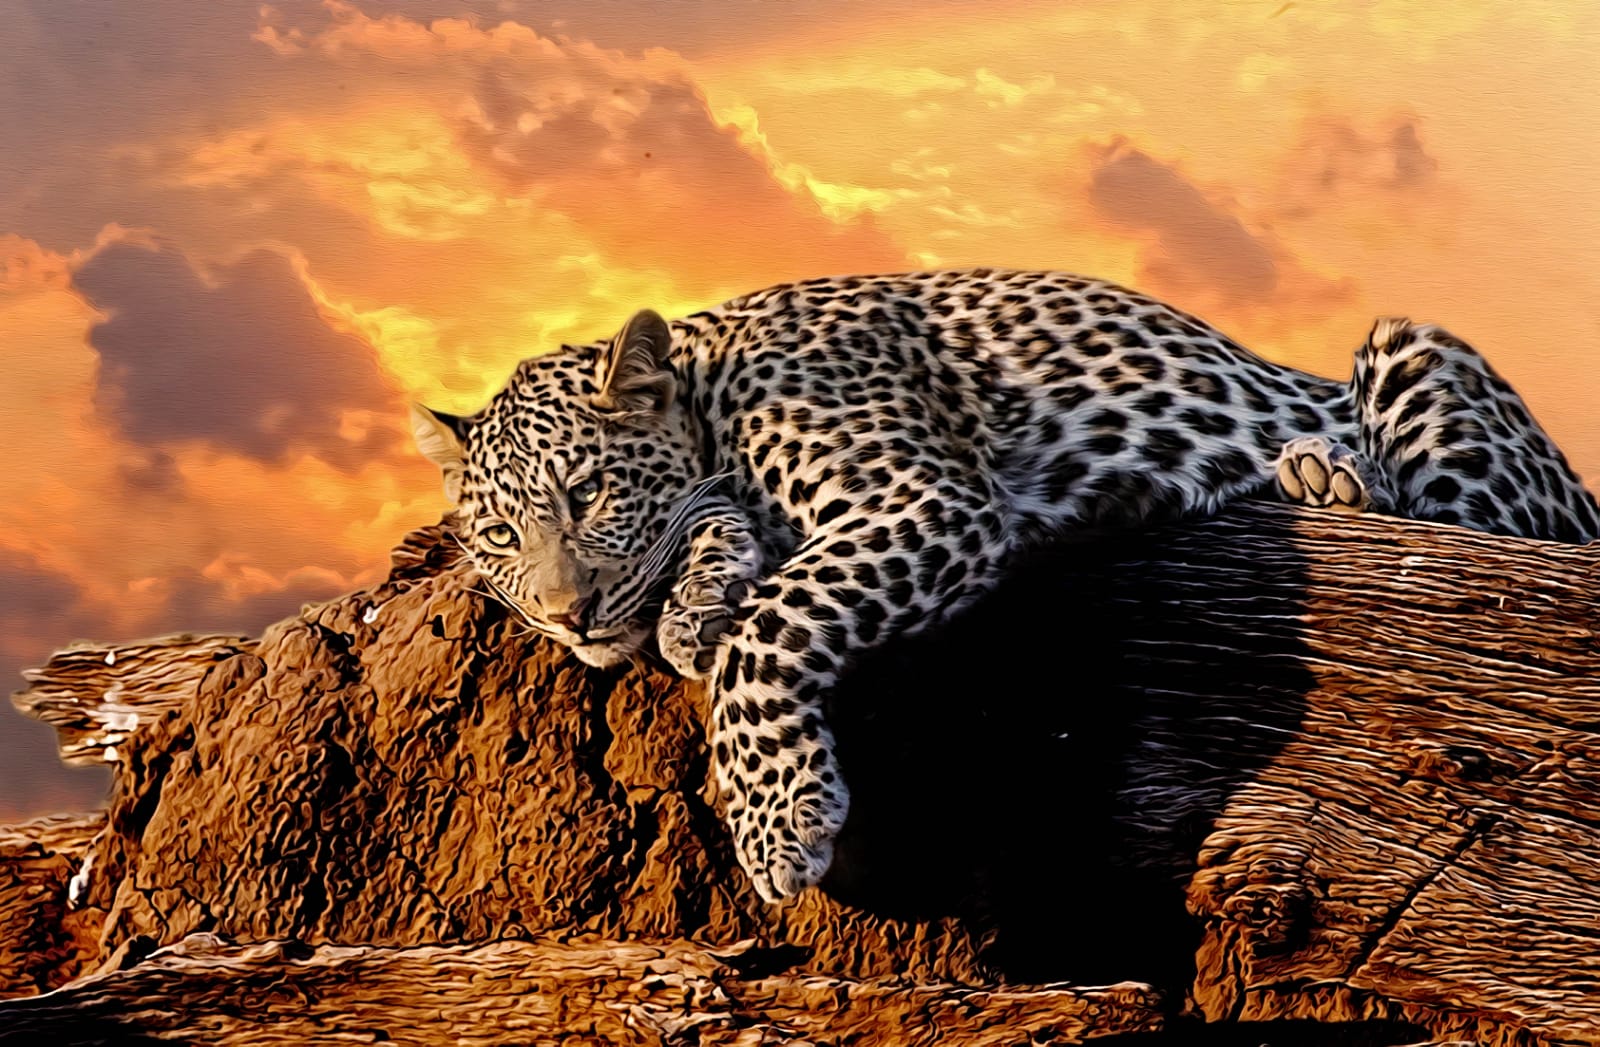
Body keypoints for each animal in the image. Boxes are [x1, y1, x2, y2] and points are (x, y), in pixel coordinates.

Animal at [411, 268, 1599, 903]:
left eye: (586, 493)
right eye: (500, 537)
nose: (565, 616)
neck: (714, 391)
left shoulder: (927, 500)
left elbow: (771, 628)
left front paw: (779, 818)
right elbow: (716, 549)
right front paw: (695, 605)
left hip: (1423, 358)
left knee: (1502, 531)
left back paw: (1327, 471)